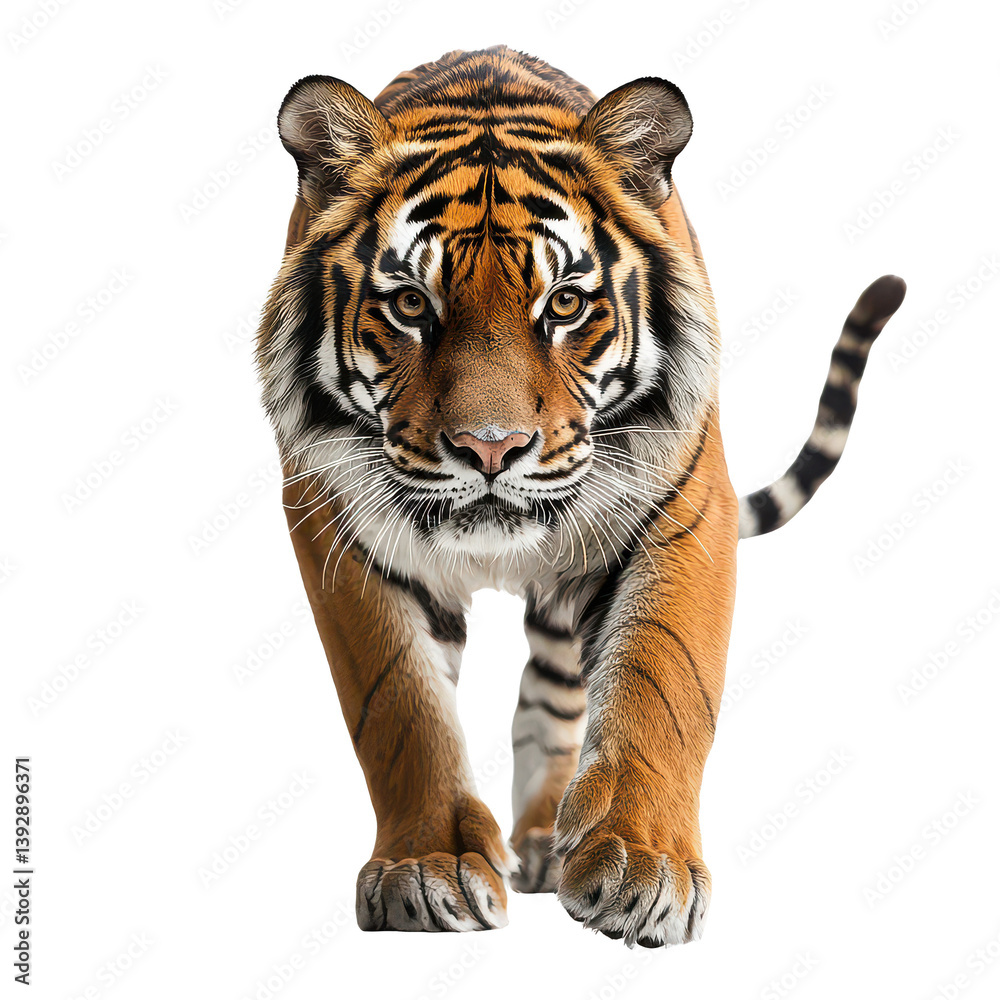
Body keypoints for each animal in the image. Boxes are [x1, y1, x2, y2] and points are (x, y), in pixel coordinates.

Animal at [255, 46, 905, 947]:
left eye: (564, 303)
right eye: (412, 304)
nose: (489, 448)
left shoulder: (683, 509)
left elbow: (664, 682)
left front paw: (642, 866)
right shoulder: (337, 527)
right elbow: (401, 708)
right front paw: (427, 869)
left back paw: (546, 840)